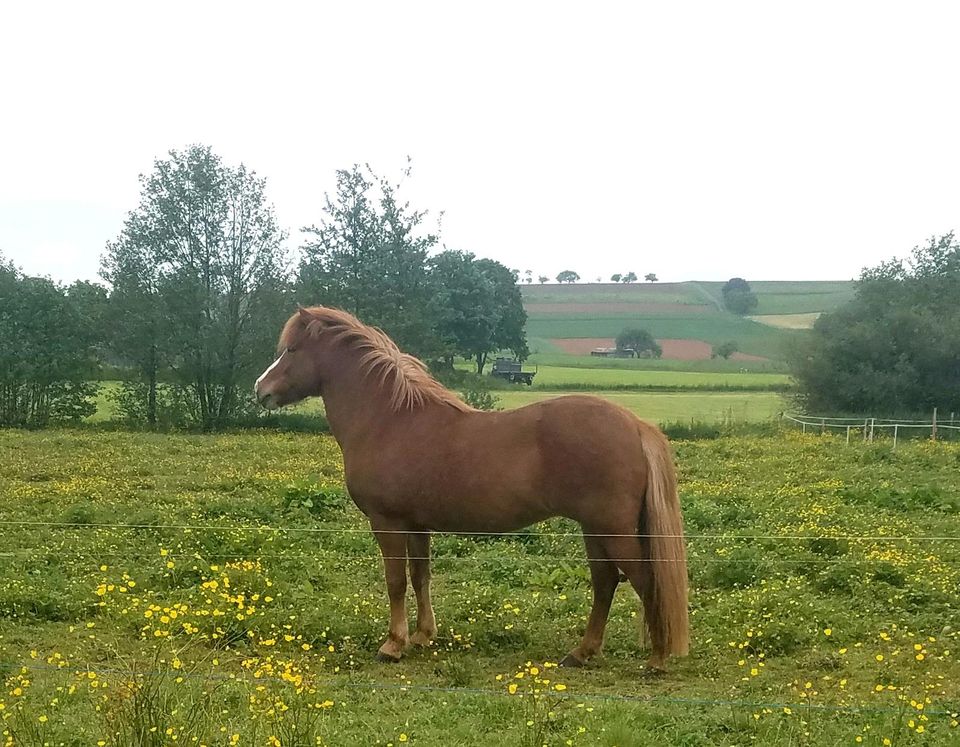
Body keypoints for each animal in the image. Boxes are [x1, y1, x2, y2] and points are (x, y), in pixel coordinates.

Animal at [255, 306, 688, 668]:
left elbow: (396, 581)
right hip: (594, 528)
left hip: (612, 529)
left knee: (643, 580)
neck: (390, 420)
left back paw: (657, 658)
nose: (261, 390)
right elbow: (420, 576)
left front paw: (393, 644)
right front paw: (423, 636)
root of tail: (636, 425)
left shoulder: (387, 522)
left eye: (291, 348)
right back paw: (582, 653)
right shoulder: (417, 525)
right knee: (605, 582)